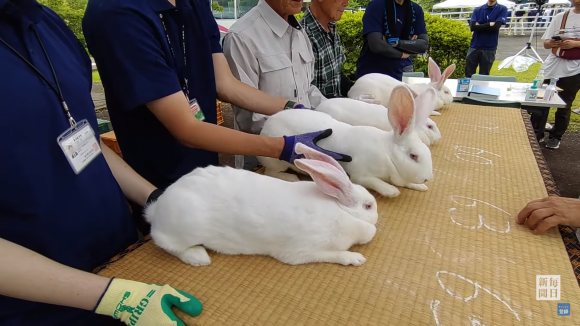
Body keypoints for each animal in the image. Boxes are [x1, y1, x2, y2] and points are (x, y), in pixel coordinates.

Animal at [144, 143, 380, 268]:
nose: (377, 218)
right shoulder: (303, 252)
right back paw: (198, 257)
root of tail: (157, 210)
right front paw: (355, 258)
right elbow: (334, 254)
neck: (340, 210)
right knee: (167, 244)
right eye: (368, 206)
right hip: (182, 230)